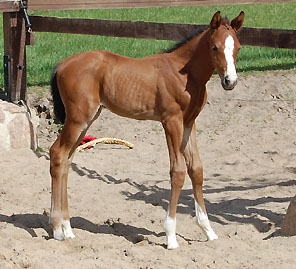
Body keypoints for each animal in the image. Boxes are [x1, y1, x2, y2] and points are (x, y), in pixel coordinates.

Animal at [50, 11, 245, 248]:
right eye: (215, 47)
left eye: (237, 47)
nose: (230, 81)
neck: (185, 73)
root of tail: (62, 64)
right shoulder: (171, 121)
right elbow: (178, 171)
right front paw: (171, 236)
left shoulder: (189, 122)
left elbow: (196, 169)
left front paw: (208, 230)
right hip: (78, 119)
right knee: (57, 154)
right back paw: (57, 230)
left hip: (87, 120)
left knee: (67, 160)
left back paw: (67, 229)